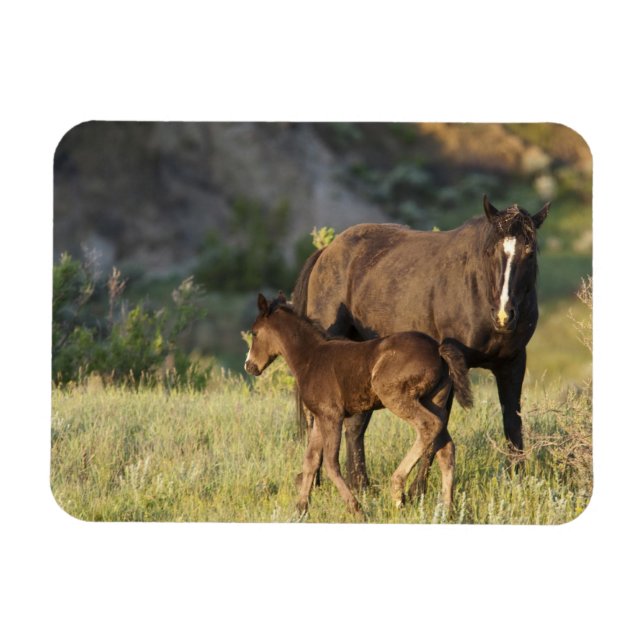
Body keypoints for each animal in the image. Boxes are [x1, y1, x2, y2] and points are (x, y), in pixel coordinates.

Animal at [244, 292, 473, 518]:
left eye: (254, 333)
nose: (249, 366)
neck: (310, 358)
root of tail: (438, 349)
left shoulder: (332, 416)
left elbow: (330, 463)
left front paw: (356, 508)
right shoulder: (320, 417)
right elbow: (311, 460)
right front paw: (300, 510)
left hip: (395, 396)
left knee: (428, 426)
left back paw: (398, 490)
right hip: (435, 400)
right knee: (445, 447)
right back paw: (447, 510)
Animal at [292, 195, 549, 496]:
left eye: (529, 252)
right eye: (491, 253)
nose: (503, 315)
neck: (478, 289)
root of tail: (327, 251)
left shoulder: (512, 363)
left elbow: (512, 422)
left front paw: (517, 482)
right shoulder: (452, 365)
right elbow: (440, 423)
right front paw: (418, 490)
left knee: (355, 424)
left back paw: (360, 485)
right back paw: (316, 482)